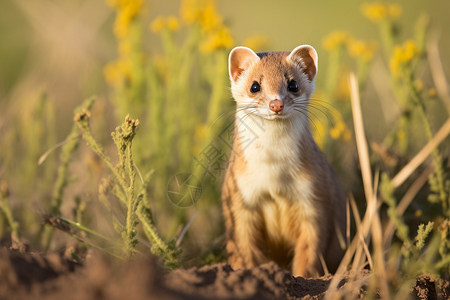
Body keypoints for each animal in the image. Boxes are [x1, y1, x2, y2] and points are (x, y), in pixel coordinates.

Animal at [222, 44, 348, 276]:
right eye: (255, 86)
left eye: (293, 84)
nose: (276, 104)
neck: (274, 175)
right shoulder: (239, 196)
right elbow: (244, 248)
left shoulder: (314, 195)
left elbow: (310, 249)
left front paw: (303, 275)